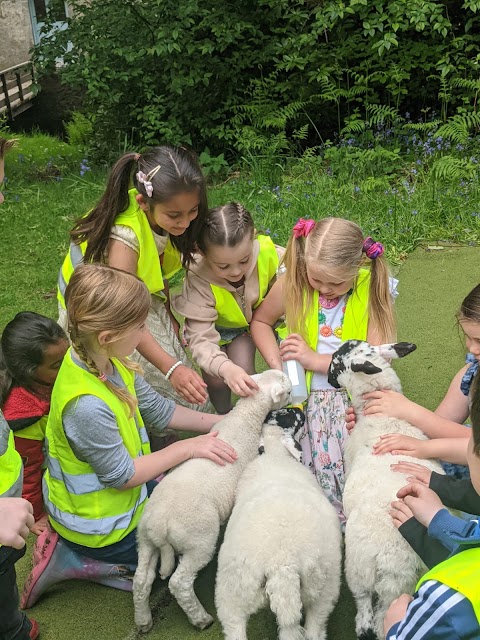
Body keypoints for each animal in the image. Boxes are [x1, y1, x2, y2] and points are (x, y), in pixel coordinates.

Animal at [133, 368, 294, 632]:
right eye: (288, 392)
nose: (293, 399)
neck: (244, 418)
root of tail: (159, 524)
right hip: (198, 540)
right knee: (179, 583)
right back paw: (200, 619)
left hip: (145, 540)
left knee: (141, 580)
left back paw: (143, 620)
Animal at [328, 342, 444, 640]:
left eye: (336, 362)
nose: (330, 381)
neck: (384, 417)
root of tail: (395, 561)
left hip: (360, 569)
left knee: (368, 612)